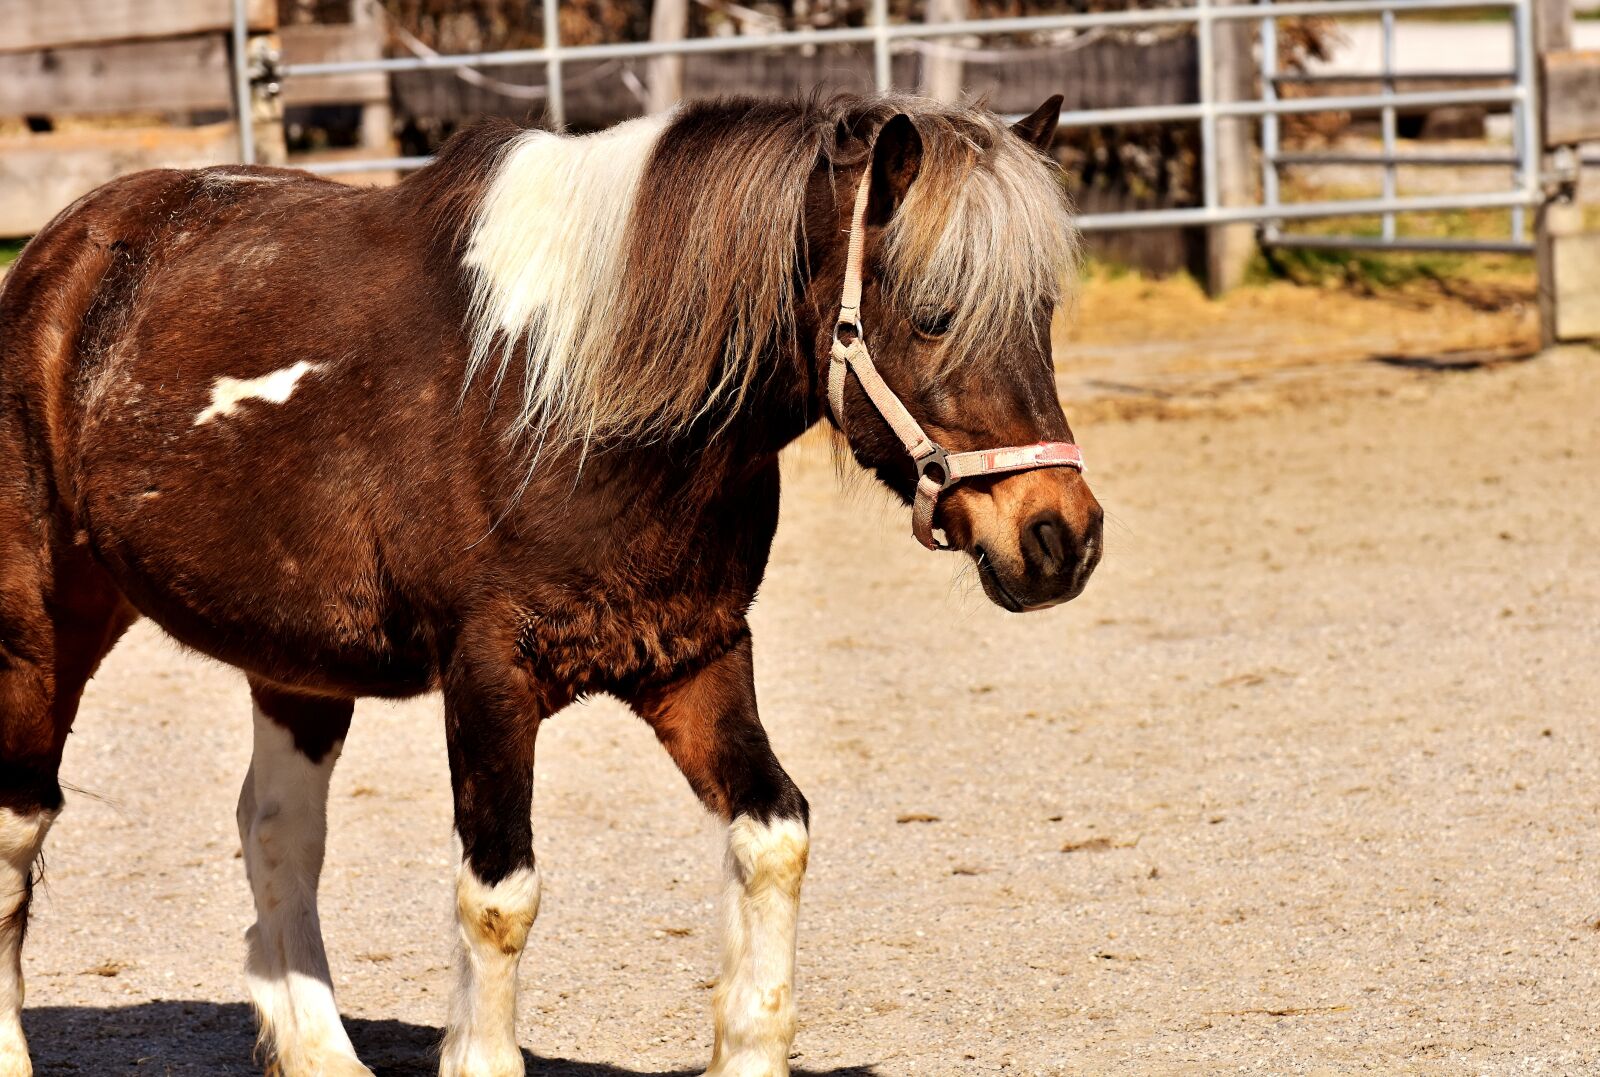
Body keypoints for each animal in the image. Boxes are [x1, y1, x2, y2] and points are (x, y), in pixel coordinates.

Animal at [0, 92, 1101, 1076]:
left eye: (1041, 311)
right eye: (933, 315)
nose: (1060, 537)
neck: (573, 398)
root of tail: (59, 255)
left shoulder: (696, 656)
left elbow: (775, 833)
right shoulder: (490, 677)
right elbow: (499, 898)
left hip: (297, 666)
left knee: (277, 837)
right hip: (43, 625)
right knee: (19, 832)